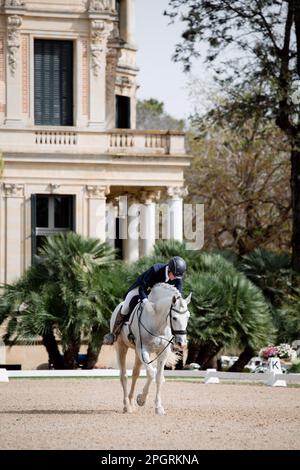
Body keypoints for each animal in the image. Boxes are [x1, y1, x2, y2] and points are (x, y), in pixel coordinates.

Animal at [110, 282, 192, 414]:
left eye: (188, 317)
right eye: (174, 318)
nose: (182, 343)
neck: (158, 322)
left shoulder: (163, 352)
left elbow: (158, 377)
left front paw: (158, 407)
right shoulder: (143, 350)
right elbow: (151, 373)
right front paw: (141, 399)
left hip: (136, 353)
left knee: (135, 374)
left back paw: (131, 402)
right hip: (121, 347)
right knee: (124, 375)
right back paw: (127, 406)